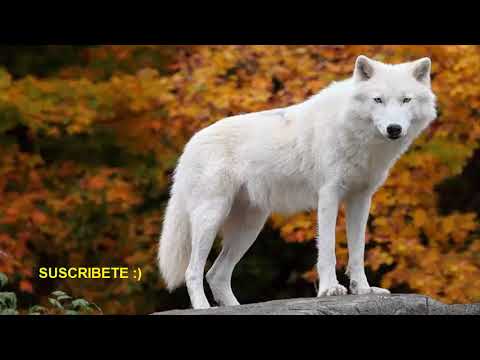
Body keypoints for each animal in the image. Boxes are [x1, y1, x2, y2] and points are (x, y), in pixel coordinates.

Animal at [159, 54, 436, 310]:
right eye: (378, 100)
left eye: (406, 100)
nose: (394, 128)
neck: (355, 133)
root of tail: (190, 143)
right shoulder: (329, 195)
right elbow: (328, 249)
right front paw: (329, 289)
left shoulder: (361, 199)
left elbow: (358, 252)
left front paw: (363, 289)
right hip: (211, 218)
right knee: (193, 272)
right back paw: (203, 307)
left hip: (249, 227)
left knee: (216, 274)